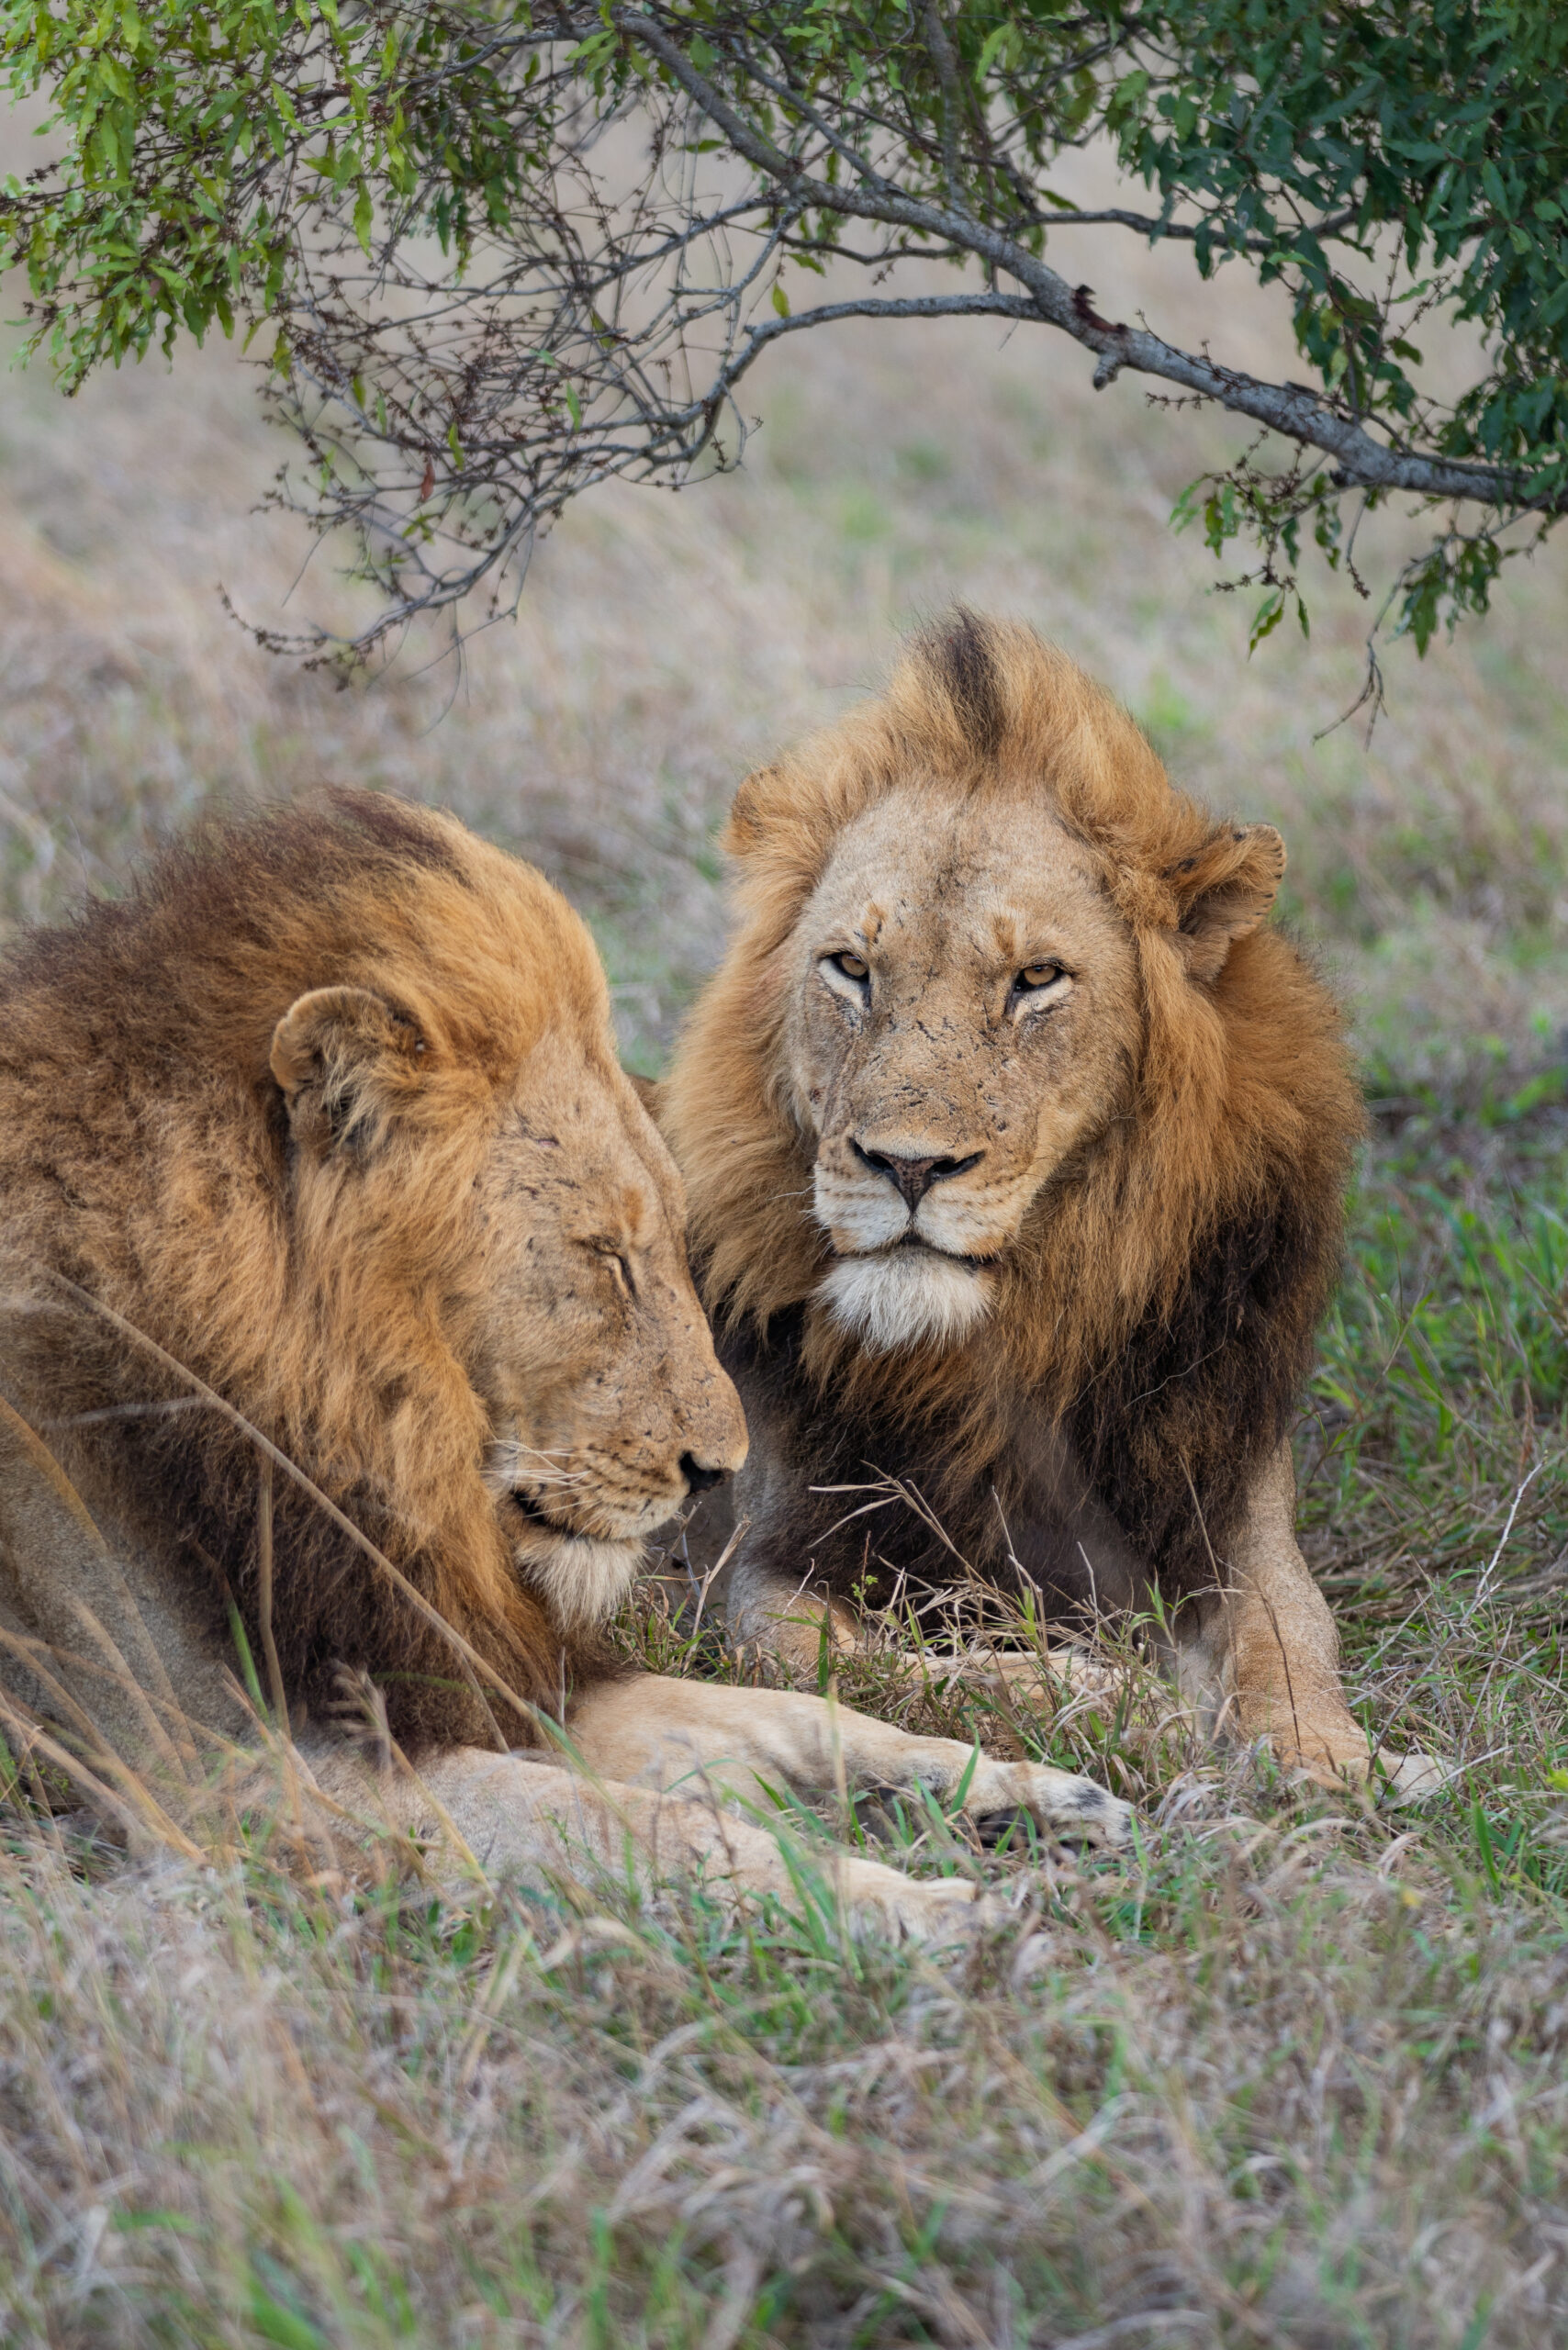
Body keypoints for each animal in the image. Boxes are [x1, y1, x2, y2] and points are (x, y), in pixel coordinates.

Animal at [0, 789, 1128, 1927]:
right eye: (605, 1257)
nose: (715, 1472)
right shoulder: (224, 1776)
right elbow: (656, 1824)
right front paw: (909, 1906)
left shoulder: (469, 1664)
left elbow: (787, 1714)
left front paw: (1019, 1788)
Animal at [658, 615, 1439, 1785]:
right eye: (849, 967)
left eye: (1035, 978)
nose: (906, 1166)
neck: (1005, 1338)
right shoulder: (763, 1568)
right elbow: (879, 1666)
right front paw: (1125, 1703)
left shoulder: (1228, 1502)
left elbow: (1293, 1632)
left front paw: (1326, 1758)